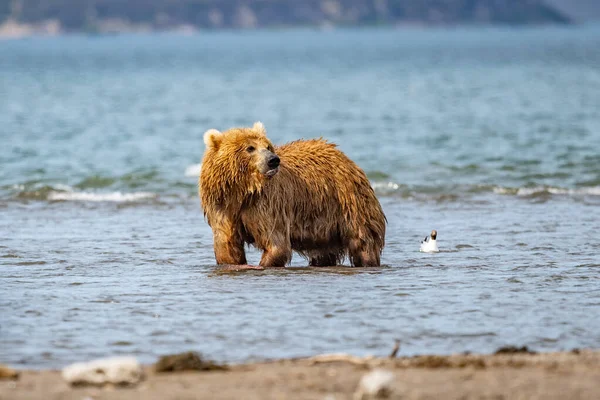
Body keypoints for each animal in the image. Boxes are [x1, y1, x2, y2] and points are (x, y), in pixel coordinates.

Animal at [199, 120, 386, 268]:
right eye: (250, 148)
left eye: (267, 146)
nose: (273, 160)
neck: (242, 191)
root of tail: (347, 160)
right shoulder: (222, 206)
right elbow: (227, 244)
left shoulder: (266, 203)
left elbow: (275, 242)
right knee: (324, 251)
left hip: (348, 202)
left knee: (362, 240)